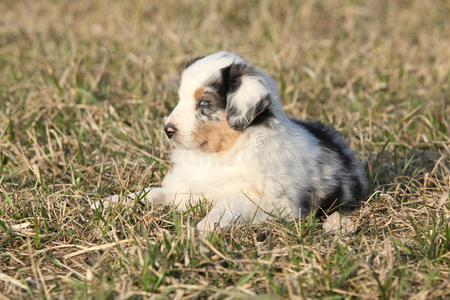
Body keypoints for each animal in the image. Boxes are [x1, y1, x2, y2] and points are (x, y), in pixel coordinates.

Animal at [97, 51, 366, 233]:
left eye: (204, 103)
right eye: (180, 98)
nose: (167, 130)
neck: (222, 154)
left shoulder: (276, 202)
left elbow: (231, 202)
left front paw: (207, 225)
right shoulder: (187, 190)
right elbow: (152, 193)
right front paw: (110, 202)